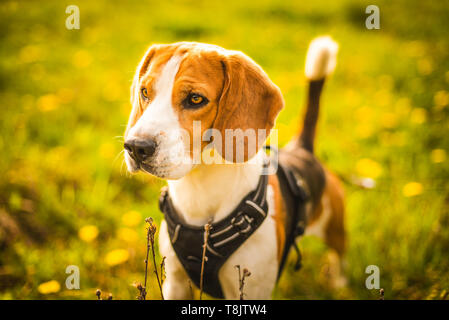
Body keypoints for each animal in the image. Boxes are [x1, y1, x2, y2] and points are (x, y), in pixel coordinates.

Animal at [124, 37, 344, 300]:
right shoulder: (175, 283)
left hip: (335, 228)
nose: (136, 147)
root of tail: (302, 149)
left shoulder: (251, 290)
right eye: (145, 92)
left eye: (195, 99)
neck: (199, 188)